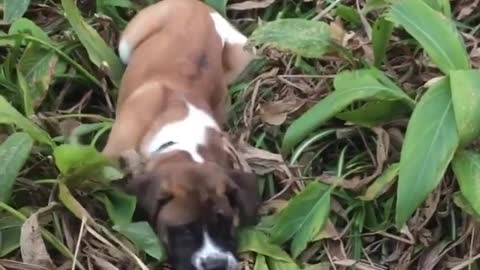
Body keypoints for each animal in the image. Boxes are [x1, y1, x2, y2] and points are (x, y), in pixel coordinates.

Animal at [103, 0, 256, 270]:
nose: (216, 265)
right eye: (184, 231)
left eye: (225, 223)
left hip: (244, 54)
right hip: (128, 43)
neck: (184, 140)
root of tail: (197, 5)